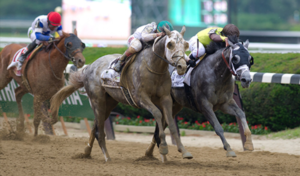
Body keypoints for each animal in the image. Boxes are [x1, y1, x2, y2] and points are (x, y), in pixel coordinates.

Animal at [50, 26, 193, 162]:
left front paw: (183, 151)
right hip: (97, 101)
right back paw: (107, 157)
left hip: (109, 103)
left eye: (185, 44)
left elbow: (171, 123)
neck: (153, 67)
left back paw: (86, 152)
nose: (182, 66)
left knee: (96, 127)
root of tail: (89, 67)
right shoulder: (141, 98)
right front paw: (163, 147)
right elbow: (158, 114)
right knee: (99, 132)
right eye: (170, 44)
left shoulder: (166, 98)